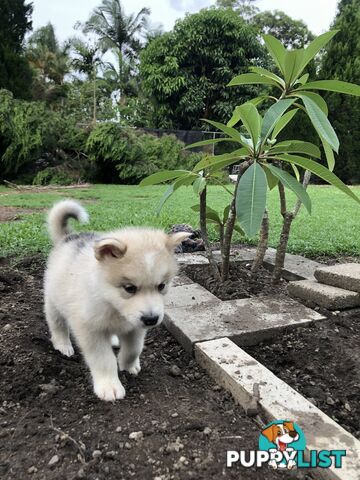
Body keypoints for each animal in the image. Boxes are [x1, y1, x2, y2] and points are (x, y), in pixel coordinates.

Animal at [44, 199, 190, 402]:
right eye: (129, 288)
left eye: (161, 286)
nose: (152, 320)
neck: (113, 307)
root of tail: (69, 237)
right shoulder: (90, 329)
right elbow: (103, 359)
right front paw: (109, 386)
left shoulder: (136, 328)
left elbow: (134, 349)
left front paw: (128, 365)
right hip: (54, 300)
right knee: (57, 324)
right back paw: (63, 345)